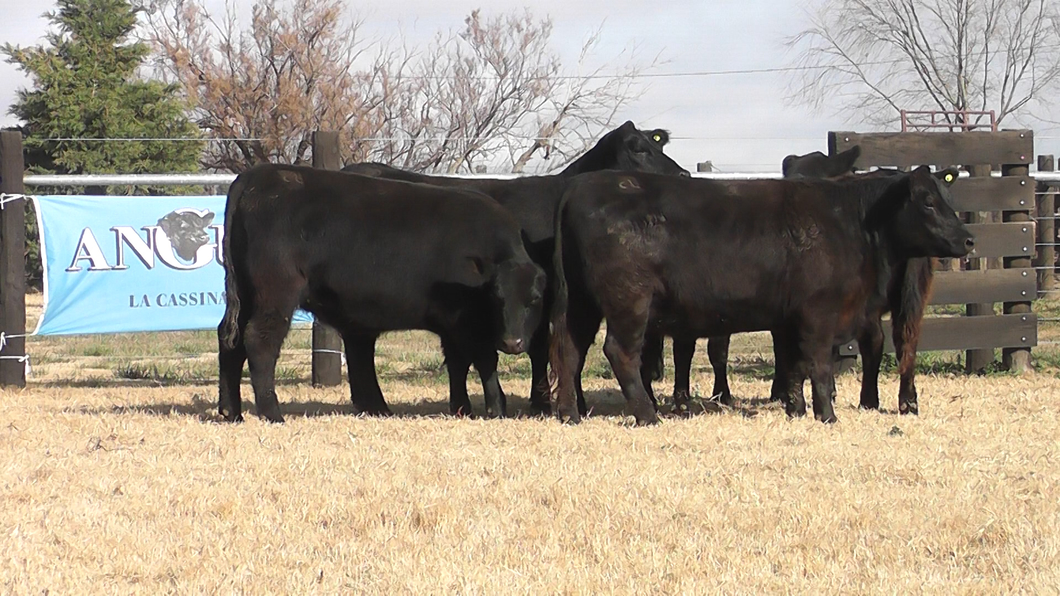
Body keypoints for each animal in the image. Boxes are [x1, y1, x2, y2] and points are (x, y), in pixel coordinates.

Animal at [216, 163, 546, 422]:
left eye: (534, 300)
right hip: (275, 293)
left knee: (230, 340)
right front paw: (496, 408)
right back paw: (272, 413)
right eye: (497, 299)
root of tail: (259, 175)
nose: (513, 343)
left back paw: (231, 412)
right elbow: (483, 359)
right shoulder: (466, 323)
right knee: (260, 339)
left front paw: (463, 407)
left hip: (245, 294)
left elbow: (458, 363)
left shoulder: (453, 324)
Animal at [551, 167, 970, 424]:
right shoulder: (819, 313)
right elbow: (818, 364)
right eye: (927, 201)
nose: (968, 239)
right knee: (620, 352)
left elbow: (794, 366)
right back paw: (647, 415)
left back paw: (570, 414)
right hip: (629, 301)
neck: (852, 222)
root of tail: (576, 188)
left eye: (950, 199)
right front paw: (826, 415)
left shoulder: (790, 319)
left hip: (581, 303)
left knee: (570, 349)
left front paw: (796, 410)